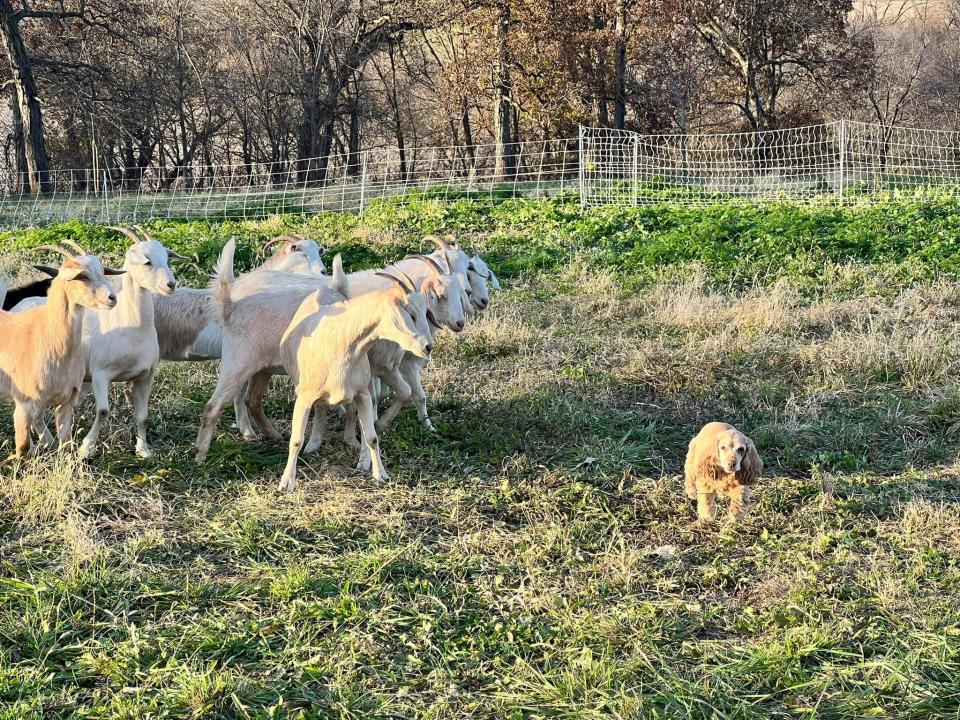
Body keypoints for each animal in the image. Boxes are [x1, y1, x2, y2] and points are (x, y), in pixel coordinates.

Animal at [0, 242, 122, 456]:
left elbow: (66, 443)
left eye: (103, 272)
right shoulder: (24, 404)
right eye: (81, 276)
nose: (112, 298)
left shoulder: (67, 402)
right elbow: (22, 448)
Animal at [274, 272, 432, 492]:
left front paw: (381, 475)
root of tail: (330, 288)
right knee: (321, 409)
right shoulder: (304, 396)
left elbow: (372, 437)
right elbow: (296, 440)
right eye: (411, 313)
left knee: (349, 412)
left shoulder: (362, 394)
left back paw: (350, 440)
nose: (427, 347)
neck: (341, 342)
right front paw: (286, 482)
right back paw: (314, 443)